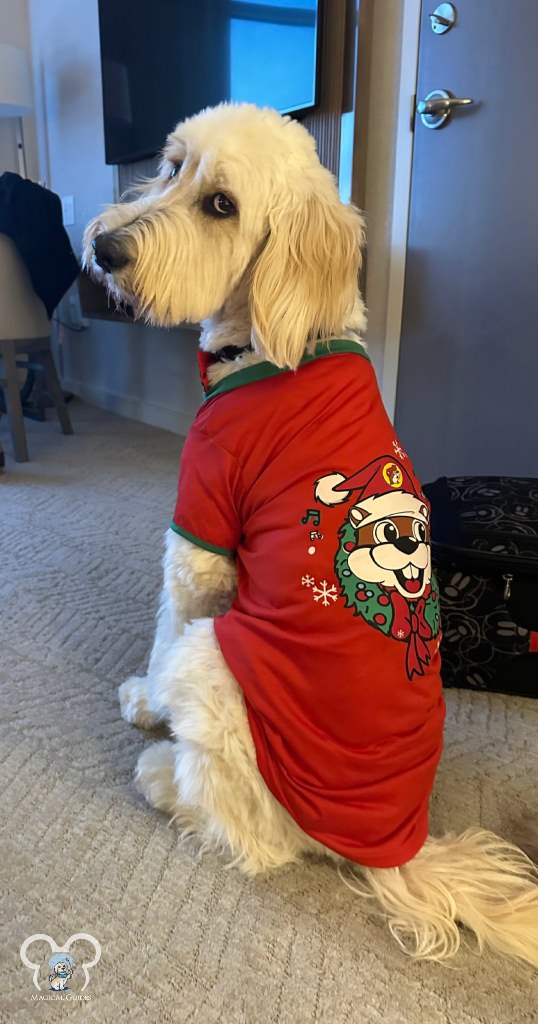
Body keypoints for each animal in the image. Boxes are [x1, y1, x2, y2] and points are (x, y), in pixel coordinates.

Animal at [81, 101, 532, 966]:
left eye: (221, 205)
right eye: (171, 164)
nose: (104, 247)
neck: (274, 340)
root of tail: (396, 850)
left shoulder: (199, 538)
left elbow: (162, 630)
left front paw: (143, 703)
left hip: (216, 662)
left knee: (254, 841)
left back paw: (159, 774)